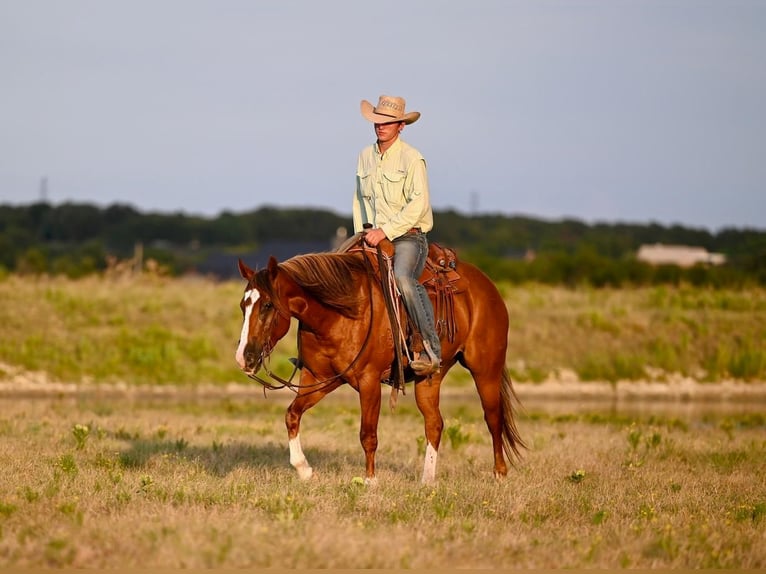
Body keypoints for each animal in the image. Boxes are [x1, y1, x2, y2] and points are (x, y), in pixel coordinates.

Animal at [236, 238, 528, 486]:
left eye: (268, 306)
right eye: (243, 306)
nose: (243, 357)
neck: (340, 312)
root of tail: (487, 286)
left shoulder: (369, 381)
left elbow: (368, 434)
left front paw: (370, 481)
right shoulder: (319, 379)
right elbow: (292, 415)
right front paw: (304, 469)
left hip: (485, 370)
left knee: (493, 417)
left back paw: (499, 474)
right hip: (431, 377)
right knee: (435, 423)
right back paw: (427, 481)